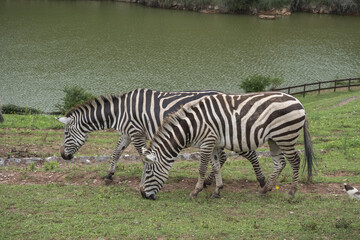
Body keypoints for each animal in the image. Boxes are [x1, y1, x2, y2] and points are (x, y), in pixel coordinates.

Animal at [57, 88, 264, 186]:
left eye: (66, 133)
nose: (63, 156)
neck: (119, 112)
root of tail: (225, 94)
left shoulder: (136, 132)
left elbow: (142, 156)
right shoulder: (127, 132)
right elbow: (116, 153)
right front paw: (109, 175)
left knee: (249, 153)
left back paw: (262, 181)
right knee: (222, 157)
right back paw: (208, 182)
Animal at [139, 92, 314, 201]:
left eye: (148, 172)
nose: (142, 195)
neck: (191, 127)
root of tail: (299, 102)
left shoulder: (206, 142)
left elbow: (202, 168)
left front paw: (195, 192)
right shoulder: (214, 144)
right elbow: (216, 166)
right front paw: (217, 191)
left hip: (285, 136)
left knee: (295, 161)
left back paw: (291, 193)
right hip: (274, 139)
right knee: (280, 163)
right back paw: (264, 190)